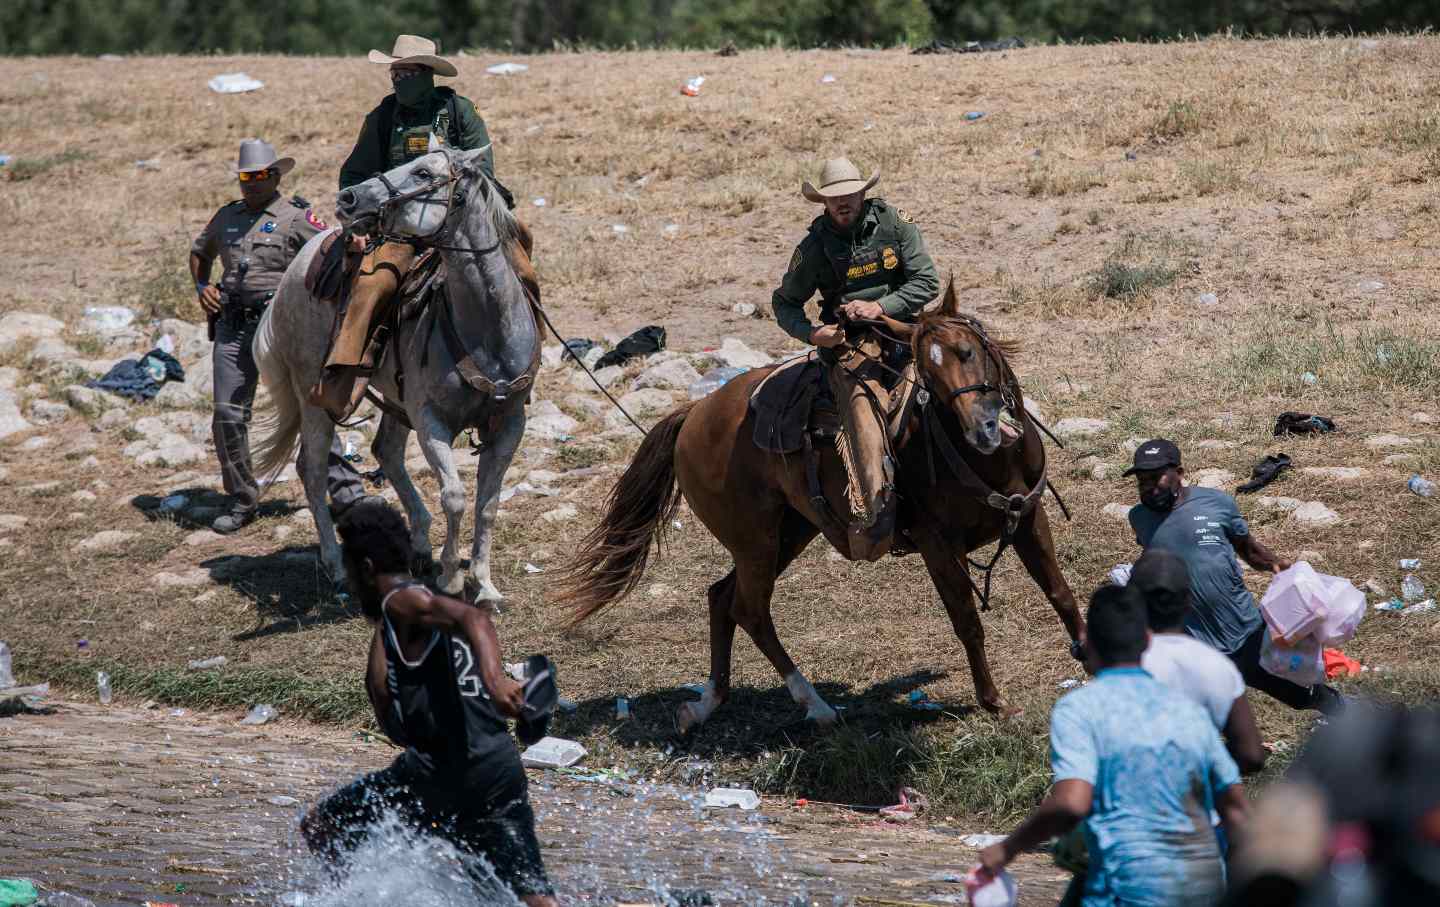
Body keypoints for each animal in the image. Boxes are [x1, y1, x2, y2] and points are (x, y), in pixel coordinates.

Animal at [250, 145, 538, 604]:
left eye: (422, 172)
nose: (348, 198)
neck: (486, 331)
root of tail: (294, 270)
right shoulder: (431, 420)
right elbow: (455, 496)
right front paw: (451, 578)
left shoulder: (511, 421)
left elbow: (488, 503)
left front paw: (485, 585)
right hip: (314, 396)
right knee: (312, 469)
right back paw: (336, 568)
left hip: (396, 398)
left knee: (385, 450)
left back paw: (418, 545)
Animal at [555, 280, 1082, 737]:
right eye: (927, 375)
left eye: (967, 352)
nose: (984, 429)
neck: (985, 460)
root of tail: (693, 415)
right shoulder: (937, 546)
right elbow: (967, 621)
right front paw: (995, 702)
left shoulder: (1028, 518)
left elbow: (1060, 593)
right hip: (756, 542)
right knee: (749, 609)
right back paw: (815, 704)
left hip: (789, 533)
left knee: (722, 598)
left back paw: (706, 704)